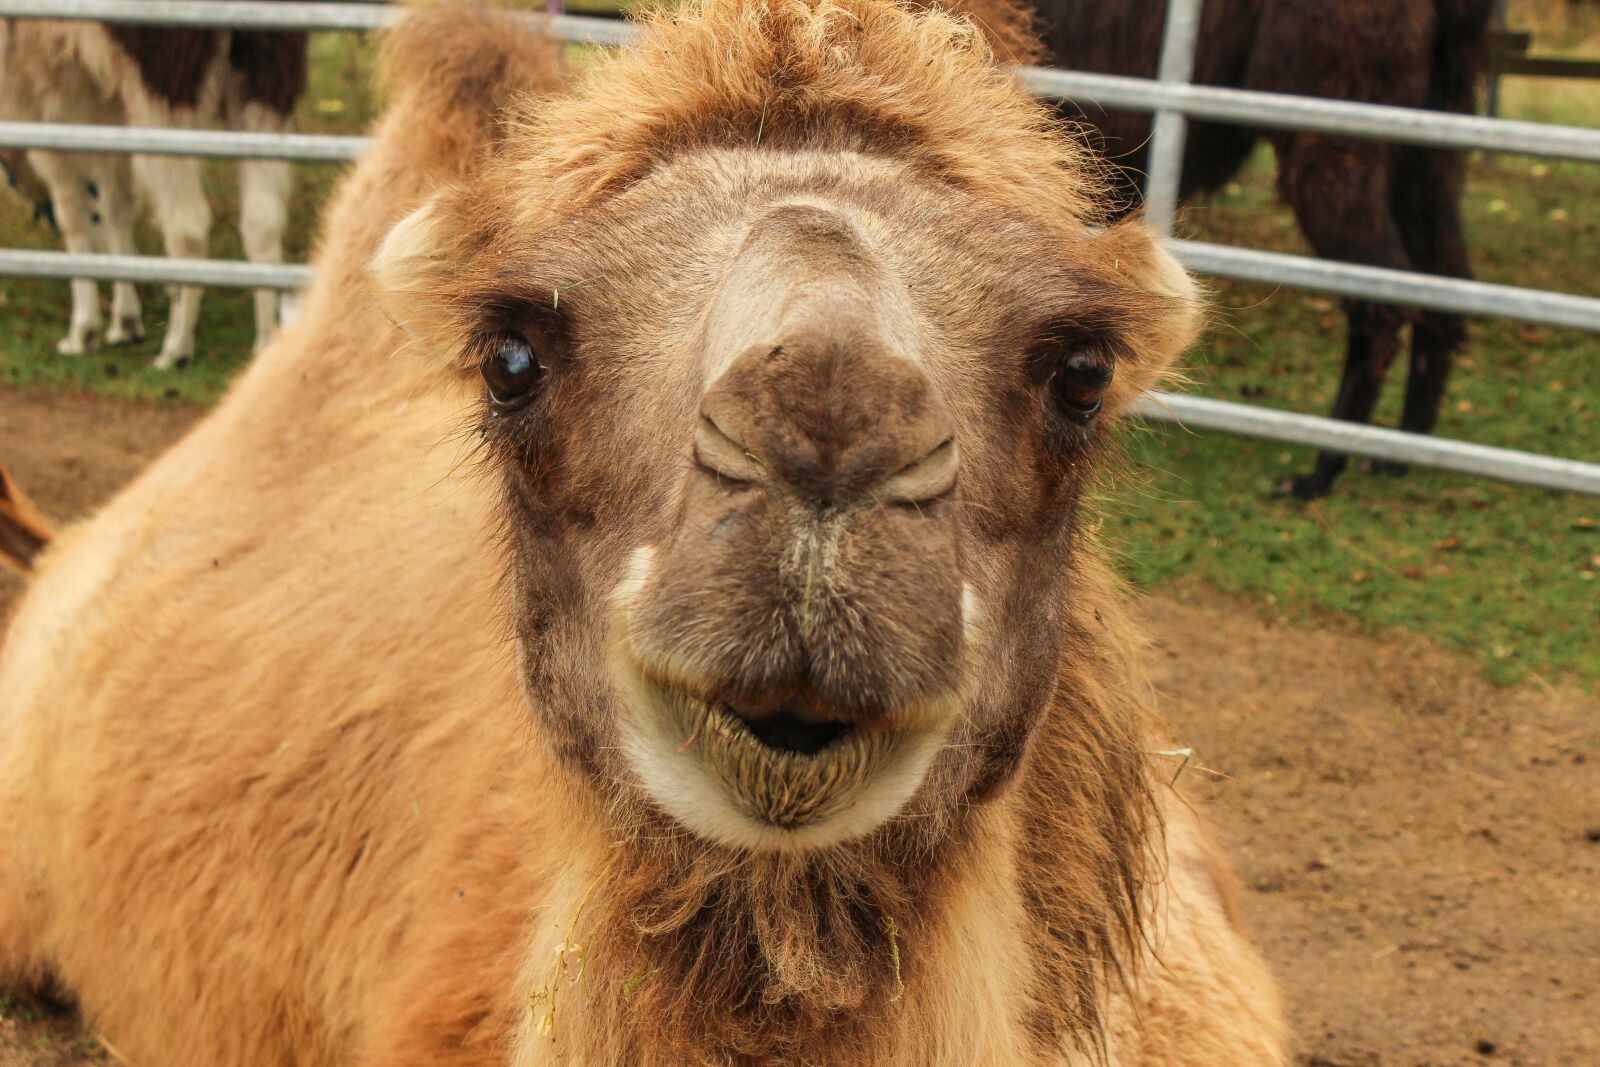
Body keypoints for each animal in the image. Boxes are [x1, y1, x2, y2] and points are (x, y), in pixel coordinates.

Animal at [0, 15, 306, 367]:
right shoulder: (103, 102)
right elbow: (116, 205)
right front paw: (125, 320)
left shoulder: (47, 93)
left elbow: (74, 215)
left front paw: (83, 330)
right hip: (266, 78)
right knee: (263, 223)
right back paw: (267, 343)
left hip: (165, 86)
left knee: (188, 228)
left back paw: (176, 348)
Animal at [1033, 0, 1494, 497]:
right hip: (1429, 143)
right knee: (1443, 289)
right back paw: (1399, 452)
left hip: (1337, 128)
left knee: (1382, 307)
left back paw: (1320, 472)